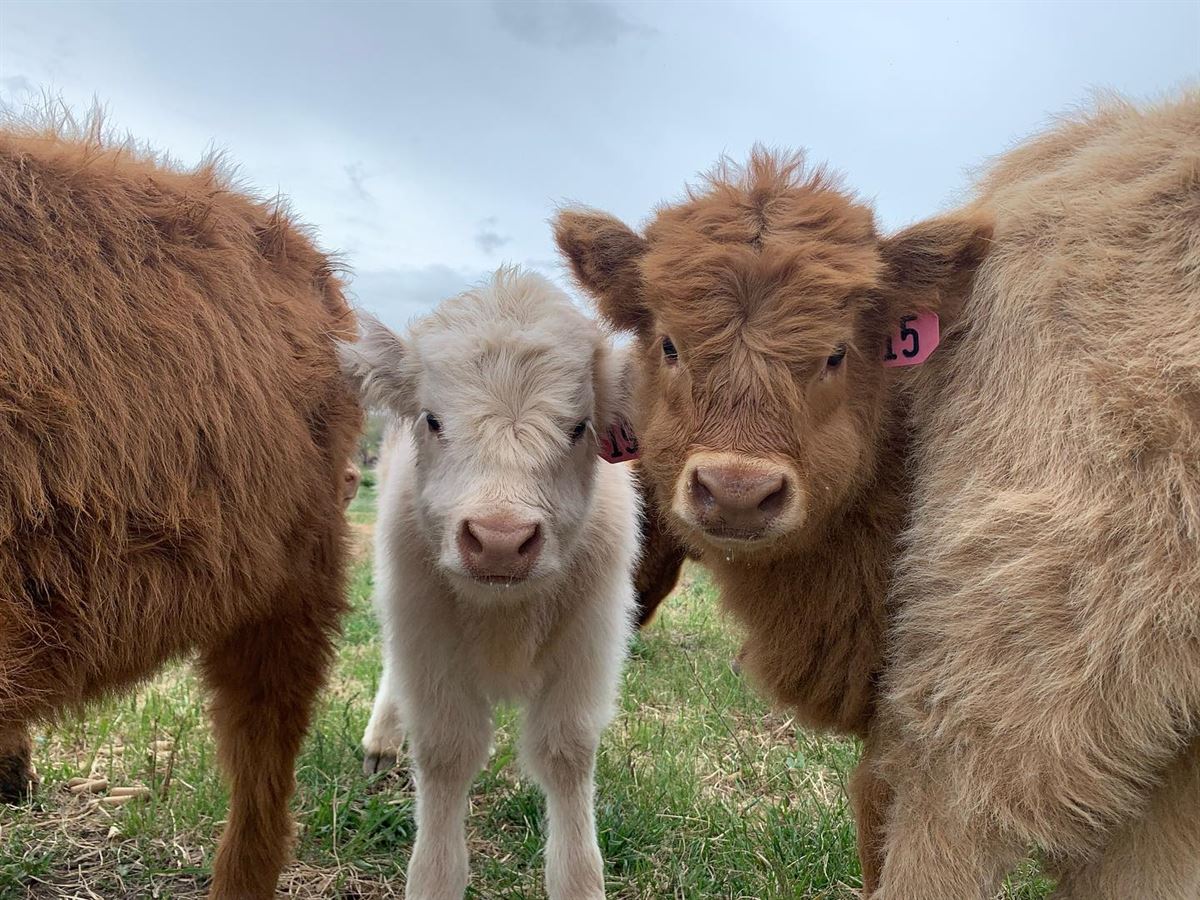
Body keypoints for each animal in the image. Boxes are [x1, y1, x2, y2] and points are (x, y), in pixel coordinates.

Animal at [340, 268, 639, 900]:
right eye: (432, 419)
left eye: (580, 426)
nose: (501, 540)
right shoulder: (423, 632)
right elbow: (446, 753)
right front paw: (433, 881)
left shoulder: (591, 641)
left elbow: (566, 752)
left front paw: (579, 882)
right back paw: (380, 742)